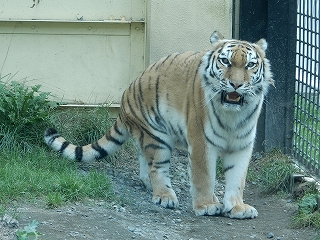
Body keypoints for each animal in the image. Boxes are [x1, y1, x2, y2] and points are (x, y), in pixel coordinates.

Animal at [45, 31, 274, 219]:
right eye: (225, 61)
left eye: (250, 65)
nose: (236, 84)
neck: (232, 116)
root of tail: (127, 92)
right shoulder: (201, 142)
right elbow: (204, 176)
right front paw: (207, 205)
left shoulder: (242, 145)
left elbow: (237, 179)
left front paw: (237, 207)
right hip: (156, 136)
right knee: (156, 167)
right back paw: (165, 196)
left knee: (143, 160)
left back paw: (150, 185)